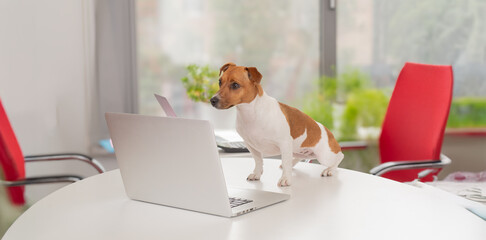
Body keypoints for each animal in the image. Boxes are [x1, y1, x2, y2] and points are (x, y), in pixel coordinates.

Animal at [211, 62, 344, 187]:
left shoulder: (284, 143)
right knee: (297, 158)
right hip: (298, 151)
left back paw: (329, 170)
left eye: (235, 85)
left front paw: (285, 179)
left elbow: (284, 163)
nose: (212, 100)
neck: (251, 112)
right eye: (220, 82)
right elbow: (258, 160)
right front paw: (257, 174)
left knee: (339, 157)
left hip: (324, 156)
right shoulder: (251, 145)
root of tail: (329, 132)